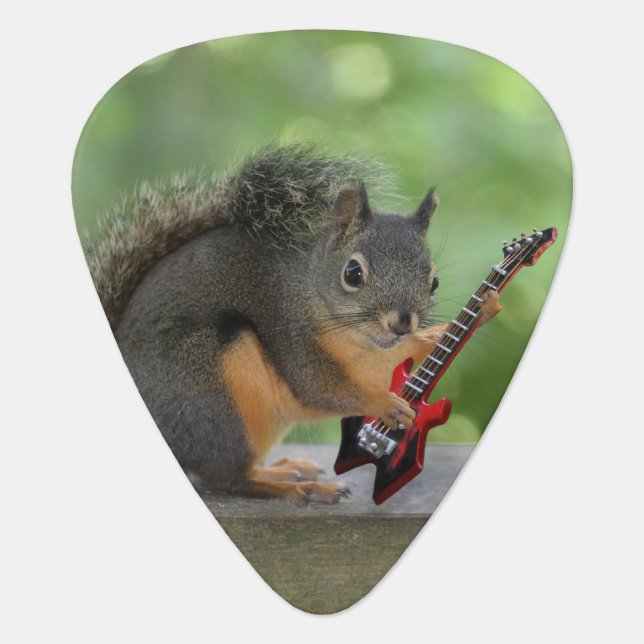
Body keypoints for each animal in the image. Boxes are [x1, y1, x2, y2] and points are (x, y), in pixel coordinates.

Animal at [86, 144, 501, 504]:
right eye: (353, 273)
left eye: (434, 281)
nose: (401, 323)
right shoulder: (288, 327)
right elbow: (319, 387)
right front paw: (384, 402)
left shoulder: (376, 355)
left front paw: (466, 318)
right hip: (209, 392)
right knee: (226, 478)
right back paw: (293, 488)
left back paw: (283, 470)